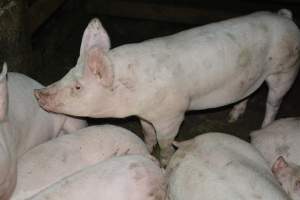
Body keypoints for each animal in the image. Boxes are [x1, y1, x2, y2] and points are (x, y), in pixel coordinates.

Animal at [34, 9, 300, 165]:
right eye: (67, 73)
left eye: (78, 87)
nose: (38, 93)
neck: (132, 93)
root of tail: (286, 18)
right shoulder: (144, 115)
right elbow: (148, 134)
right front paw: (146, 148)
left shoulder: (172, 114)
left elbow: (165, 142)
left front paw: (164, 163)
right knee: (249, 93)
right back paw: (233, 118)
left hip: (286, 69)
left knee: (273, 101)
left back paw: (264, 127)